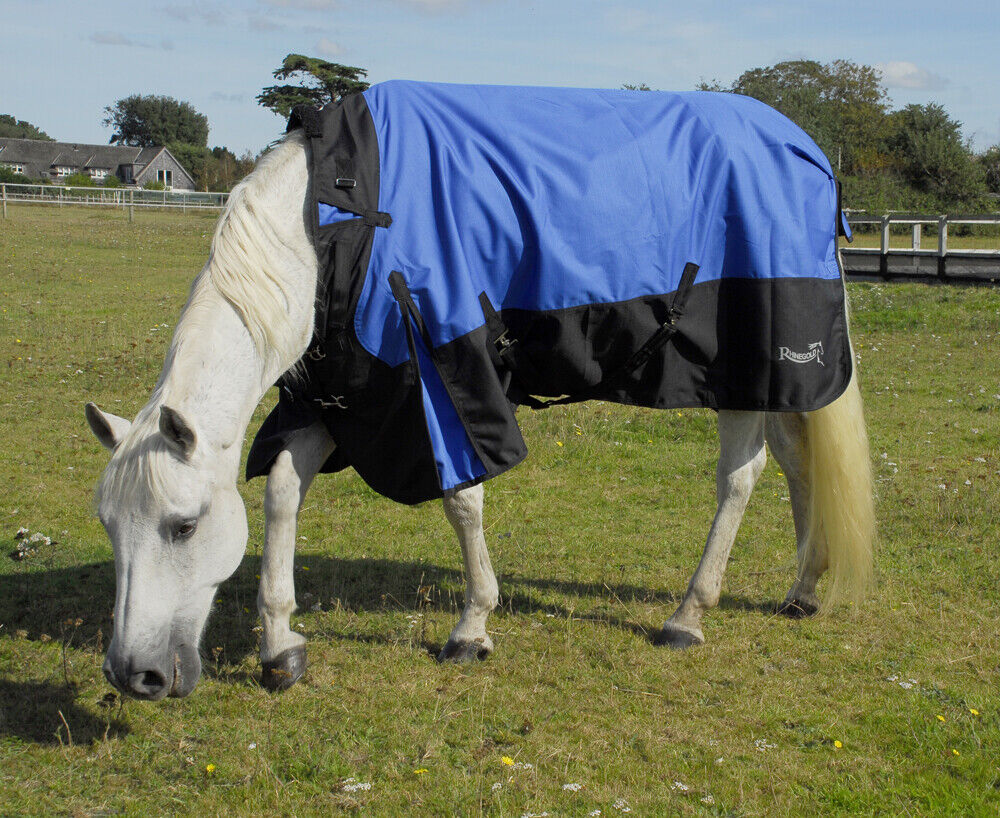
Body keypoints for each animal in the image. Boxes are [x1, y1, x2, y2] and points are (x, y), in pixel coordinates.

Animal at [86, 86, 874, 700]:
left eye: (183, 526)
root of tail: (805, 150)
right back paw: (804, 589)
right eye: (110, 527)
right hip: (770, 382)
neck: (329, 224)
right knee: (798, 465)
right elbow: (282, 488)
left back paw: (688, 615)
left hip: (744, 369)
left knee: (740, 478)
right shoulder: (340, 398)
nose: (134, 676)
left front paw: (472, 627)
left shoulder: (441, 382)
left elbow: (463, 501)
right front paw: (281, 646)